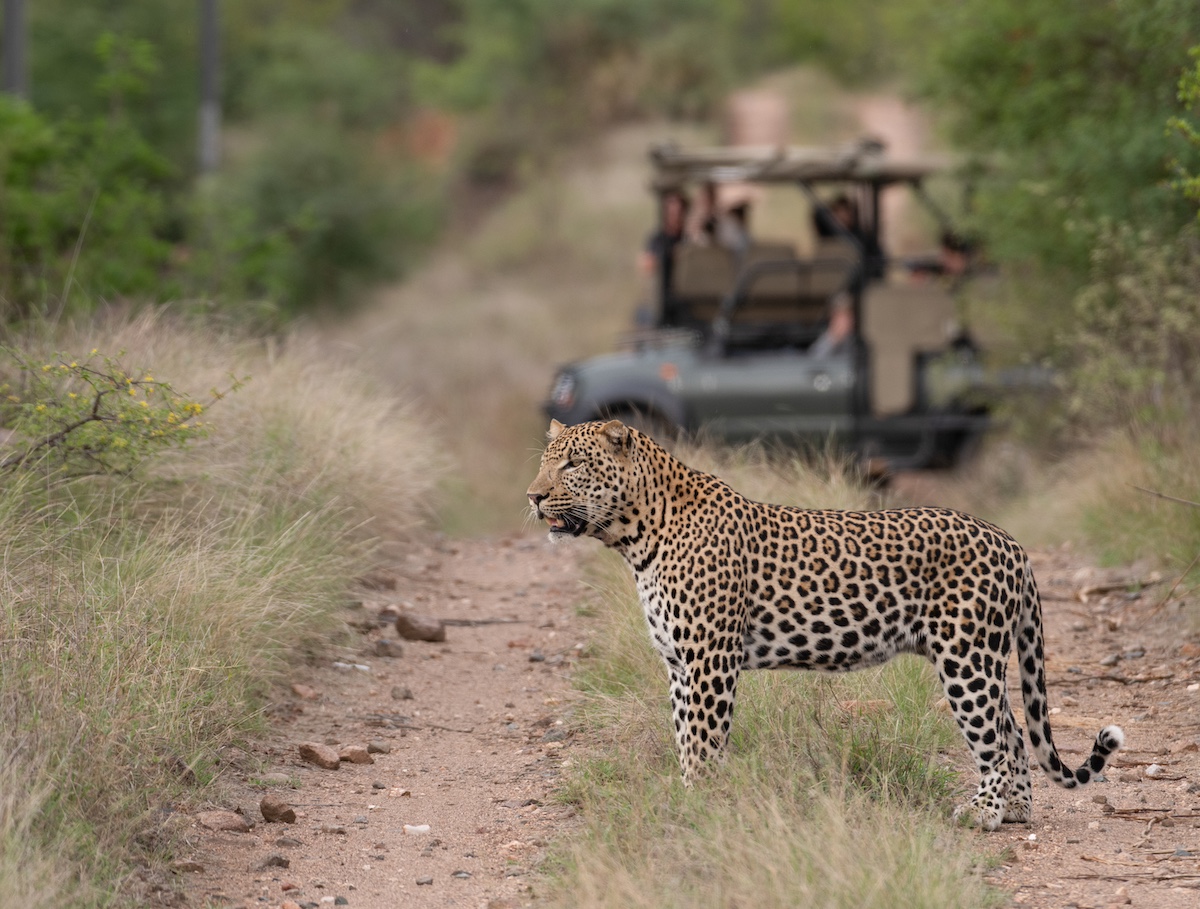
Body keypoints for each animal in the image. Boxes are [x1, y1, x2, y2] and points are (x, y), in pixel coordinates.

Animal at [528, 419, 1123, 834]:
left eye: (572, 465)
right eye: (544, 463)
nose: (533, 496)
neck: (636, 535)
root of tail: (1011, 542)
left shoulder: (710, 661)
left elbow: (702, 743)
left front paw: (700, 805)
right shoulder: (679, 664)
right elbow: (685, 740)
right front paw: (690, 796)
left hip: (967, 657)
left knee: (997, 739)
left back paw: (984, 812)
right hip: (982, 656)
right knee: (1017, 732)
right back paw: (1016, 812)